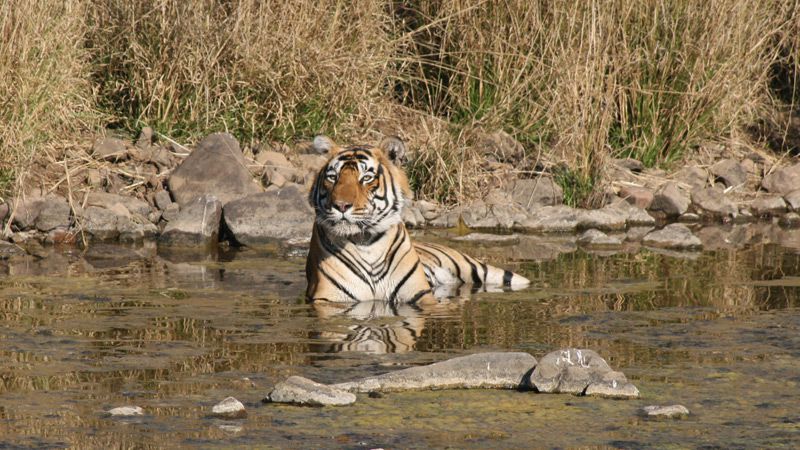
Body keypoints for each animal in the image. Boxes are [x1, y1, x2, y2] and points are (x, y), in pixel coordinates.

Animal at [306, 135, 530, 304]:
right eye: (333, 177)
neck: (367, 243)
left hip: (480, 269)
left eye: (366, 178)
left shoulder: (419, 295)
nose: (341, 205)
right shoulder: (328, 299)